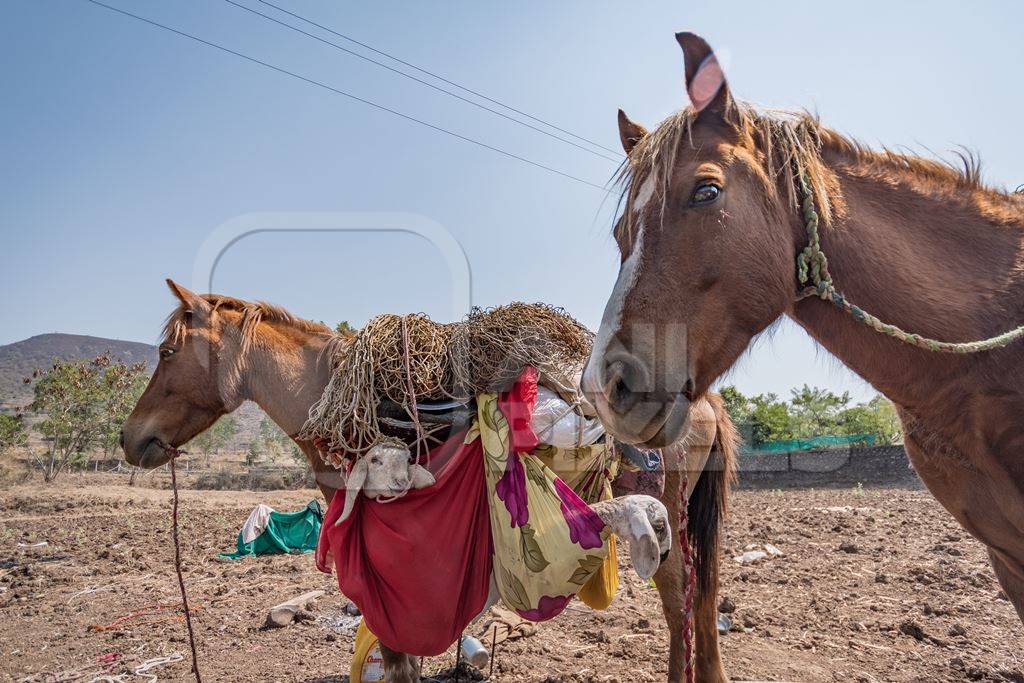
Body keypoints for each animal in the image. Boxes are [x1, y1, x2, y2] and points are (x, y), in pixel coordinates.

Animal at [121, 278, 737, 683]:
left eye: (167, 351)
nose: (130, 437)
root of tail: (705, 398)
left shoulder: (390, 569)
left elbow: (398, 657)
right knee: (700, 602)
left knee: (680, 604)